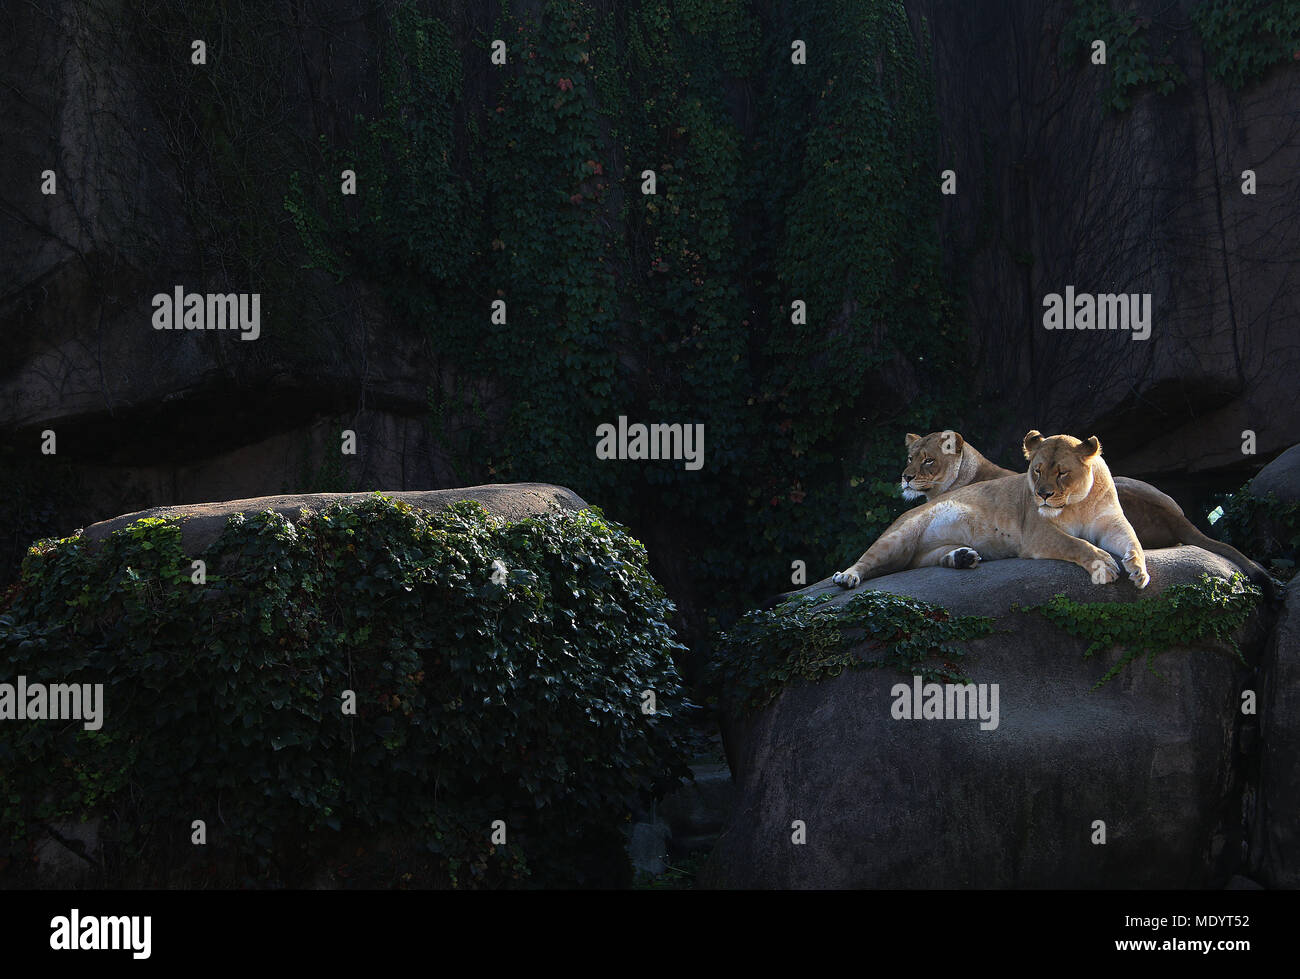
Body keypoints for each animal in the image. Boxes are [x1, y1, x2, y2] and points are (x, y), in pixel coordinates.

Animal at [832, 434, 1149, 587]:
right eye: (1037, 470)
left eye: (1062, 473)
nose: (1042, 495)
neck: (1079, 501)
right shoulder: (1039, 534)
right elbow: (1076, 544)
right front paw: (1104, 565)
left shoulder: (1111, 523)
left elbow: (1133, 541)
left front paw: (1138, 570)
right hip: (899, 536)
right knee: (867, 560)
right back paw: (846, 577)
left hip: (924, 551)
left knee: (919, 562)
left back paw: (962, 557)